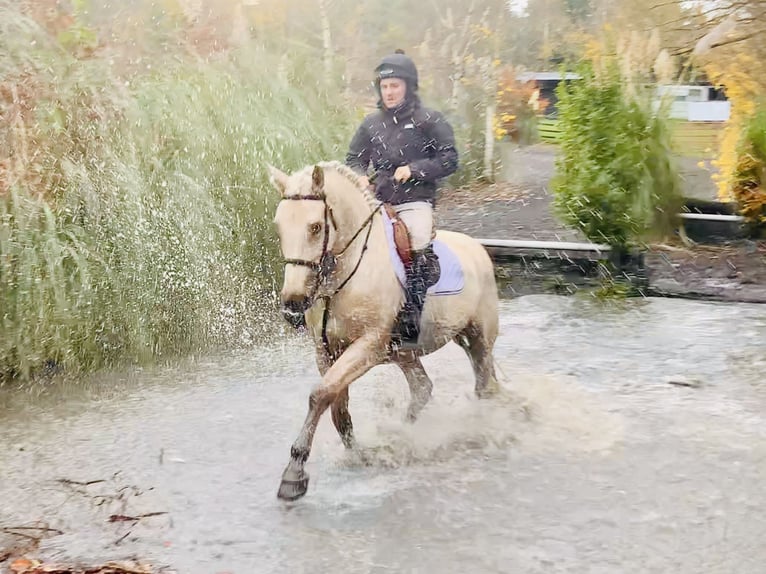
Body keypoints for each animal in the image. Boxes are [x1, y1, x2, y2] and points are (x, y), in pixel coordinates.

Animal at [268, 160, 500, 501]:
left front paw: (293, 474)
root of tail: (477, 248)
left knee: (484, 387)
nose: (293, 302)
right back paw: (405, 435)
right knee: (422, 388)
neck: (346, 274)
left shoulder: (368, 345)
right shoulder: (326, 351)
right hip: (407, 353)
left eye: (315, 227)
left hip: (478, 338)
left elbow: (320, 394)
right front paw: (357, 455)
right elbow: (336, 404)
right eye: (279, 227)